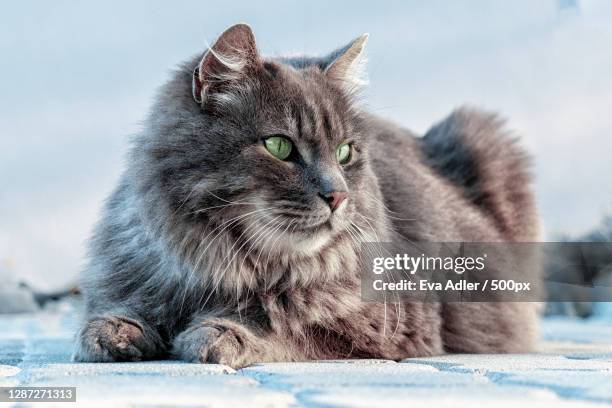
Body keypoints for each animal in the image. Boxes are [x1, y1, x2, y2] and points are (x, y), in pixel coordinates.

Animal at [74, 23, 536, 366]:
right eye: (280, 146)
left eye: (345, 152)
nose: (337, 196)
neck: (224, 266)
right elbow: (117, 310)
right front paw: (114, 332)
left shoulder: (386, 329)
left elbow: (288, 328)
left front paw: (217, 333)